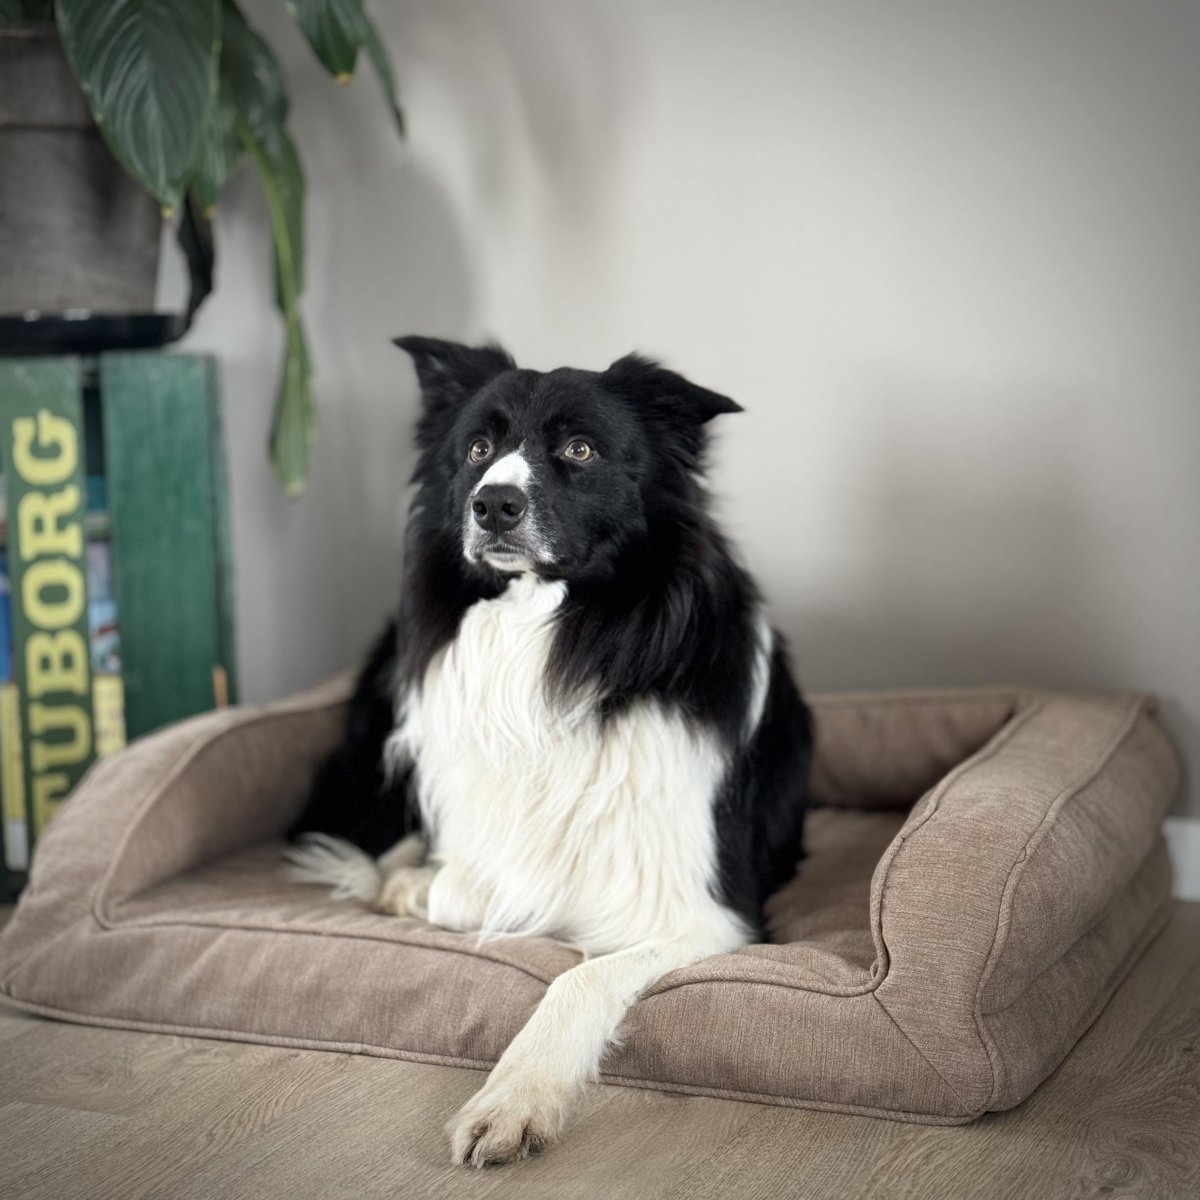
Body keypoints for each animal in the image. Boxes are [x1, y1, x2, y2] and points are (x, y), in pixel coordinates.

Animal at [288, 338, 816, 1161]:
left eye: (580, 449)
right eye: (478, 449)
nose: (492, 504)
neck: (549, 634)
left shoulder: (708, 913)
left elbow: (580, 975)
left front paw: (513, 1100)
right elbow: (468, 886)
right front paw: (420, 885)